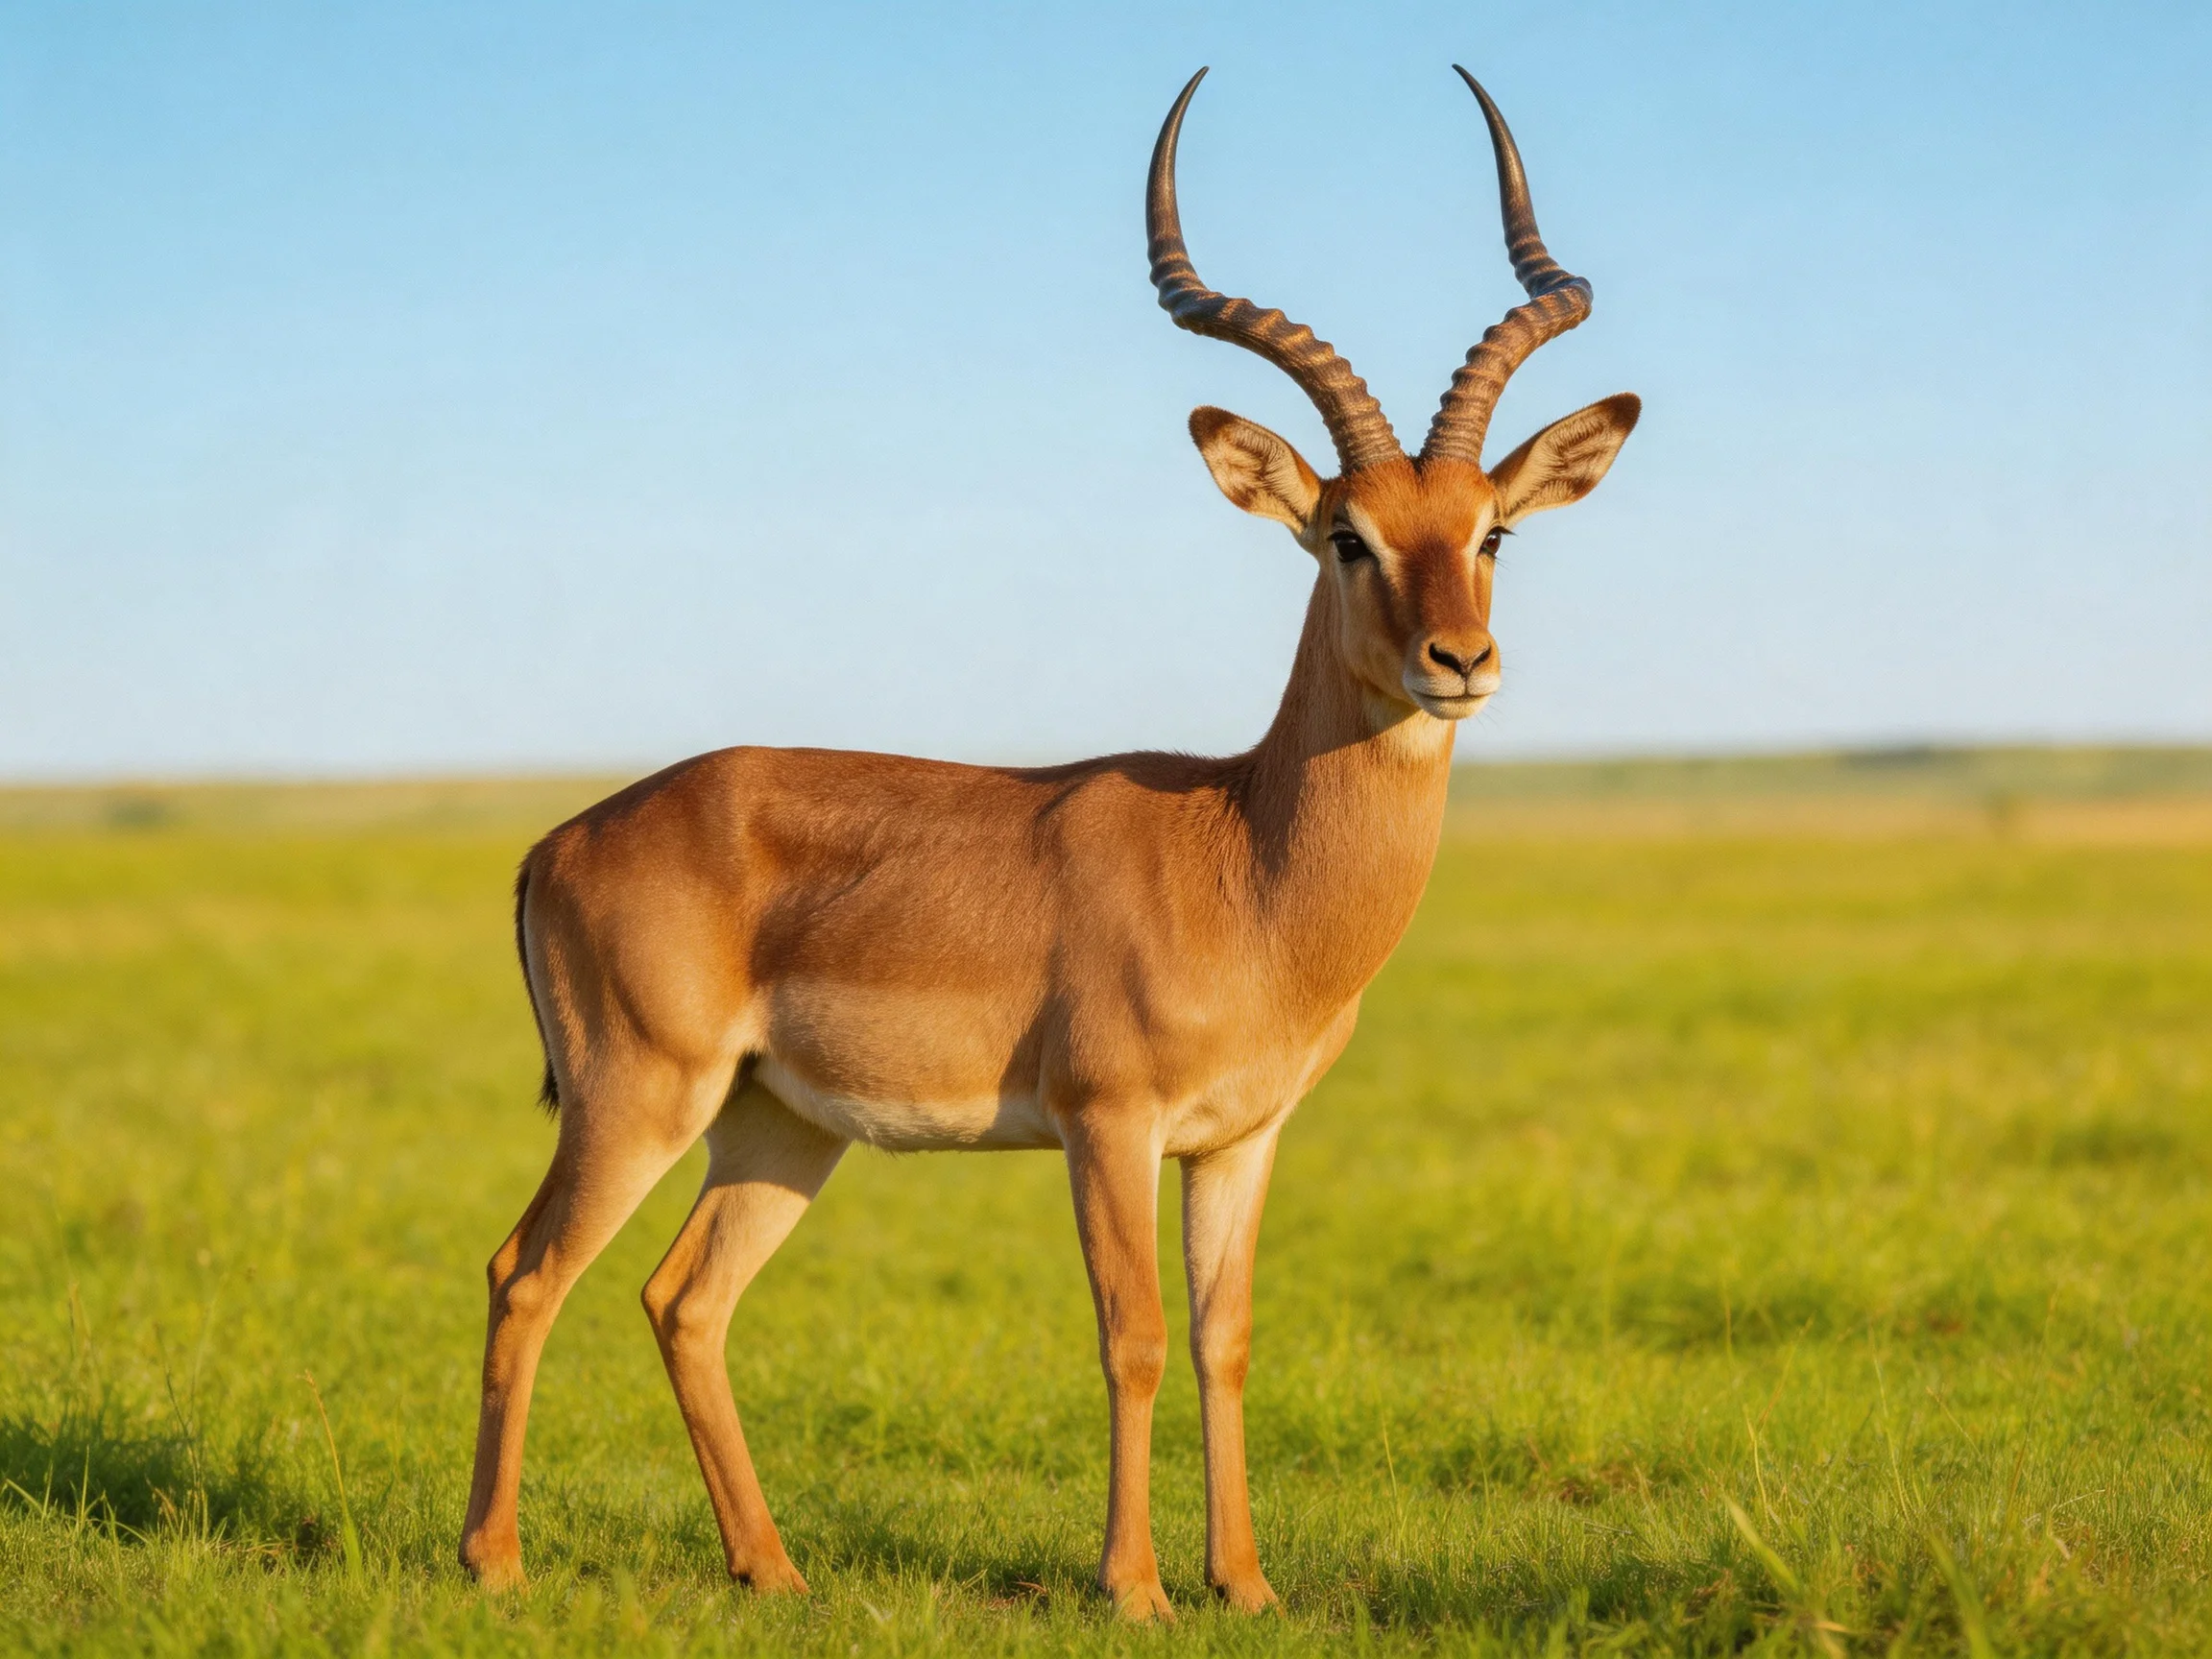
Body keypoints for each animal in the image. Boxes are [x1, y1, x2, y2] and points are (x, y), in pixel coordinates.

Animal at [460, 66, 1639, 1618]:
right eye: (1345, 536)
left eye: (1493, 531)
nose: (1459, 661)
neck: (1246, 861)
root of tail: (563, 838)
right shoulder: (1106, 1121)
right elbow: (1130, 1333)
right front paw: (1133, 1588)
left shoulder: (1240, 1139)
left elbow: (1222, 1339)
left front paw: (1246, 1587)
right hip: (639, 1095)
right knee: (526, 1272)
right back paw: (494, 1563)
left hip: (778, 1123)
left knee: (684, 1298)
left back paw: (773, 1571)